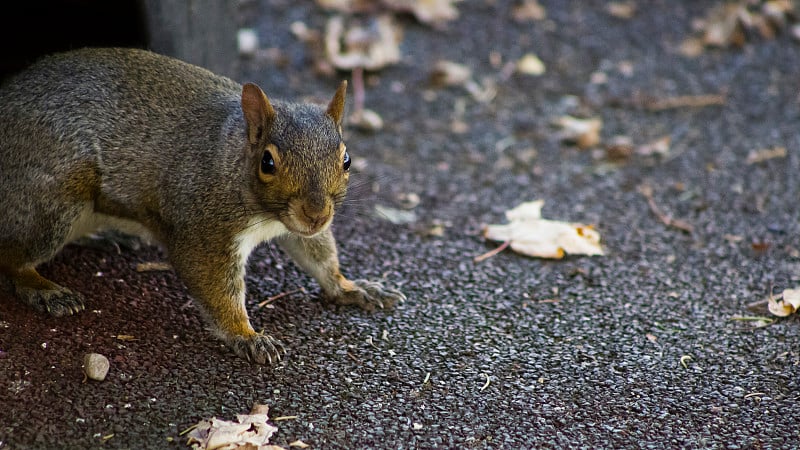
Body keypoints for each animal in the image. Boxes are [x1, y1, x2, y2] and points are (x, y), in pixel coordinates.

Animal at [0, 45, 404, 364]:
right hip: (52, 201)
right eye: (267, 163)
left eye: (347, 159)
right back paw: (43, 288)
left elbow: (320, 255)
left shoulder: (296, 227)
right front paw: (246, 335)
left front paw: (352, 287)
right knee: (12, 257)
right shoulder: (203, 231)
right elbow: (215, 287)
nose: (317, 214)